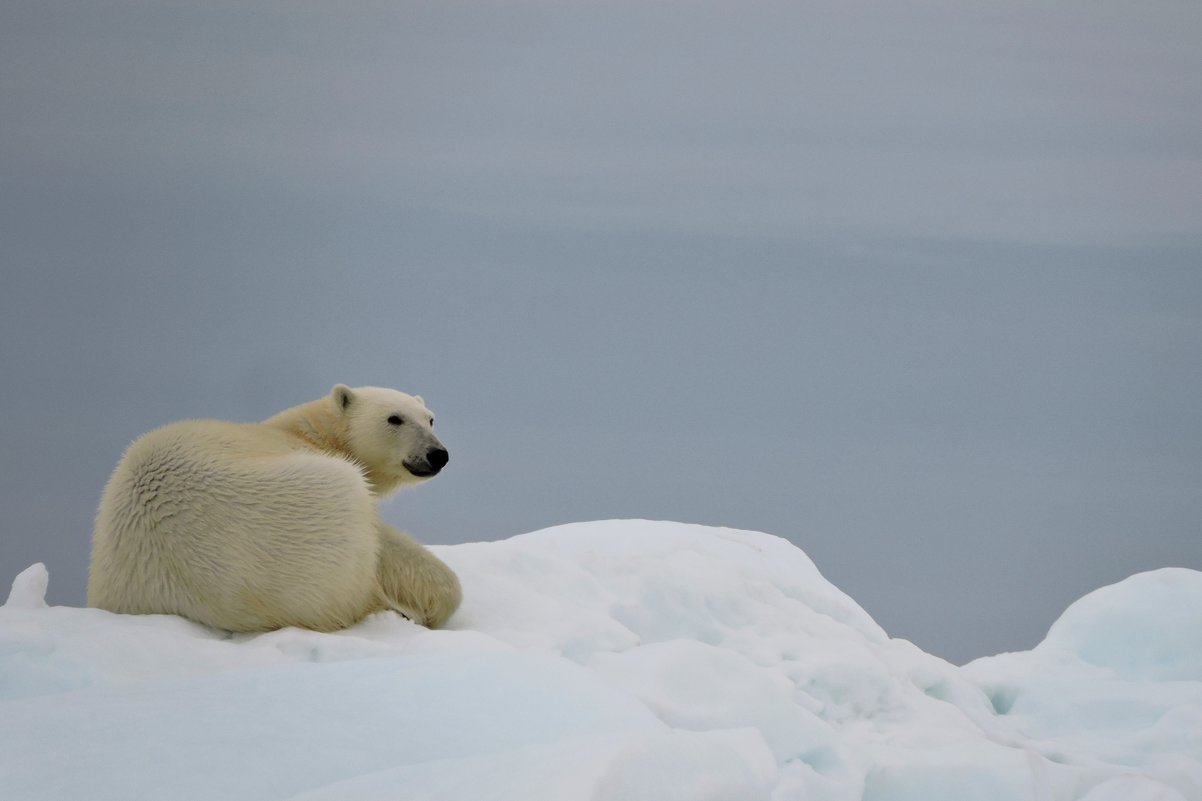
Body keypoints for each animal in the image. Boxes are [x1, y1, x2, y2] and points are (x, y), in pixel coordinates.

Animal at [87, 382, 461, 630]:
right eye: (394, 418)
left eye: (430, 419)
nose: (437, 454)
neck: (307, 432)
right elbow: (388, 544)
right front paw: (438, 599)